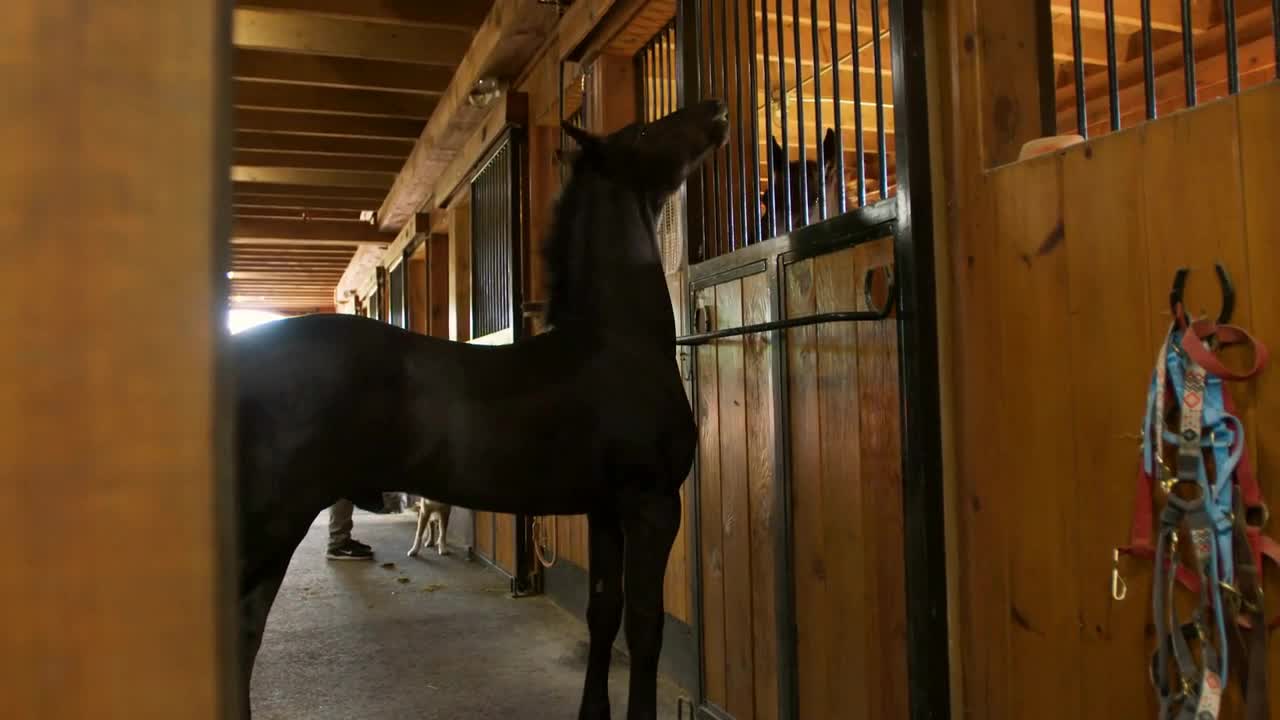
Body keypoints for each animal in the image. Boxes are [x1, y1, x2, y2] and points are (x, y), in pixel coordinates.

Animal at [230, 98, 732, 712]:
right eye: (640, 132)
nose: (714, 109)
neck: (618, 343)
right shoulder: (652, 506)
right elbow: (644, 626)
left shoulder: (606, 511)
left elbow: (603, 613)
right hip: (268, 527)